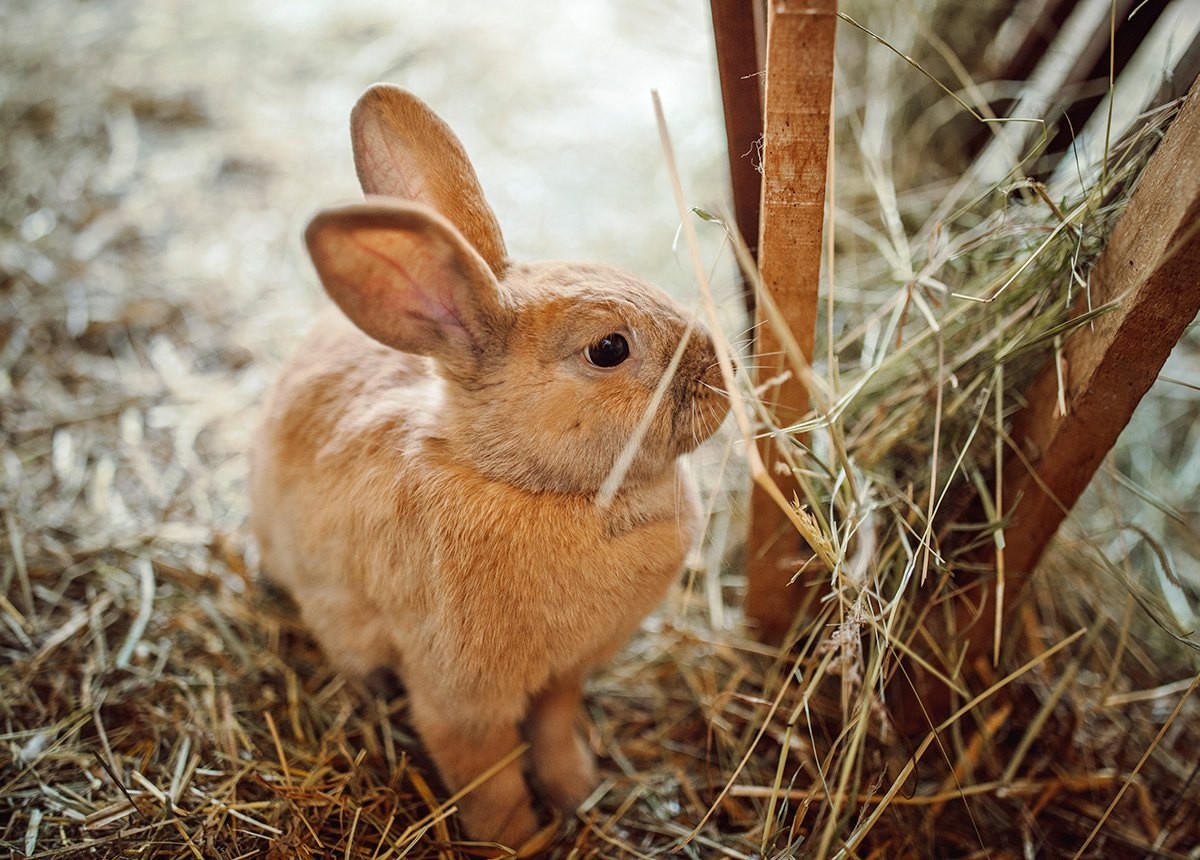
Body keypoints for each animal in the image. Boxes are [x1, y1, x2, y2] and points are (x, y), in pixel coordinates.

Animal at [249, 84, 729, 848]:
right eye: (609, 349)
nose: (722, 376)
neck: (530, 484)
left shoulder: (562, 680)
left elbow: (555, 733)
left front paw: (577, 793)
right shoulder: (462, 701)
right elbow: (491, 780)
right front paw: (521, 842)